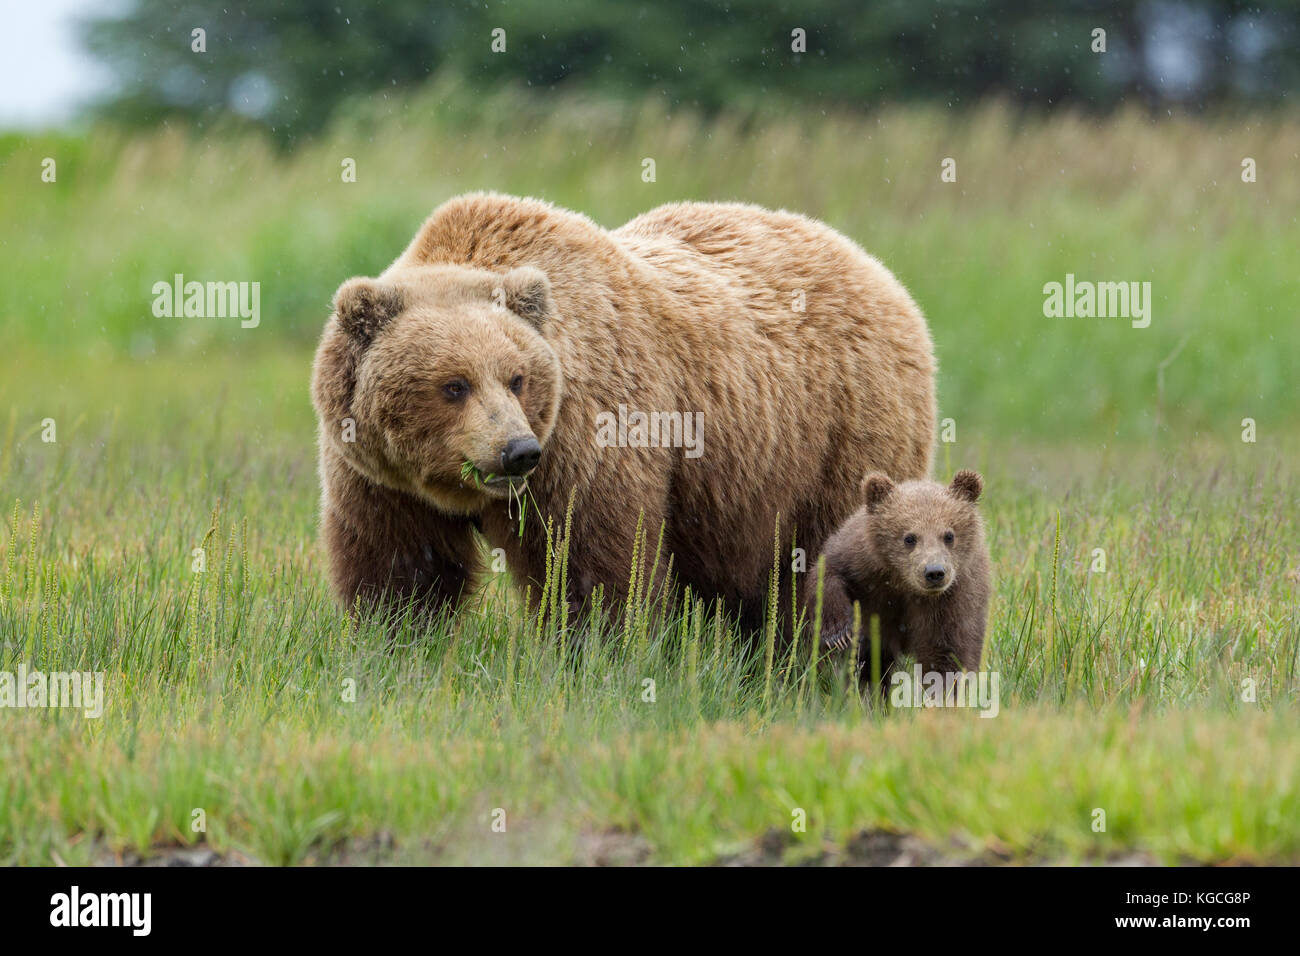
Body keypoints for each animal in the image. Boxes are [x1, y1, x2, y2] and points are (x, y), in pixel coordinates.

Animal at [310, 193, 936, 632]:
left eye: (516, 377)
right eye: (453, 385)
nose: (517, 451)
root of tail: (878, 269)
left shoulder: (588, 438)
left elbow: (593, 561)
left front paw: (596, 651)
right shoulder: (380, 477)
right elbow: (400, 567)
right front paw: (395, 638)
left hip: (840, 434)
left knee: (824, 556)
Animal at [808, 469, 990, 682]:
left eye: (949, 535)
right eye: (909, 538)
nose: (934, 572)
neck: (902, 583)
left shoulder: (953, 600)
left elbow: (947, 657)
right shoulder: (862, 567)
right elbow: (827, 574)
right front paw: (839, 634)